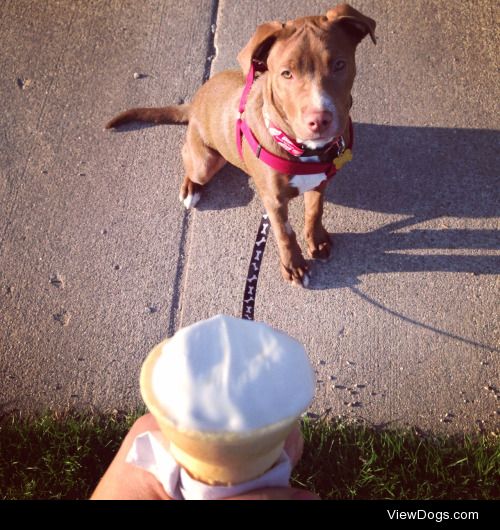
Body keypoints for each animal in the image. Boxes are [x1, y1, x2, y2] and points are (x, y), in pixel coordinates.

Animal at [106, 4, 376, 284]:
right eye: (286, 74)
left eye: (339, 64)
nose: (320, 119)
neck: (302, 149)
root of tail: (196, 101)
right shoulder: (274, 201)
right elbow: (284, 233)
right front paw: (294, 266)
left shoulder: (321, 182)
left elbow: (315, 211)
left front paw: (317, 241)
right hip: (205, 162)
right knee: (190, 163)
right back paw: (191, 189)